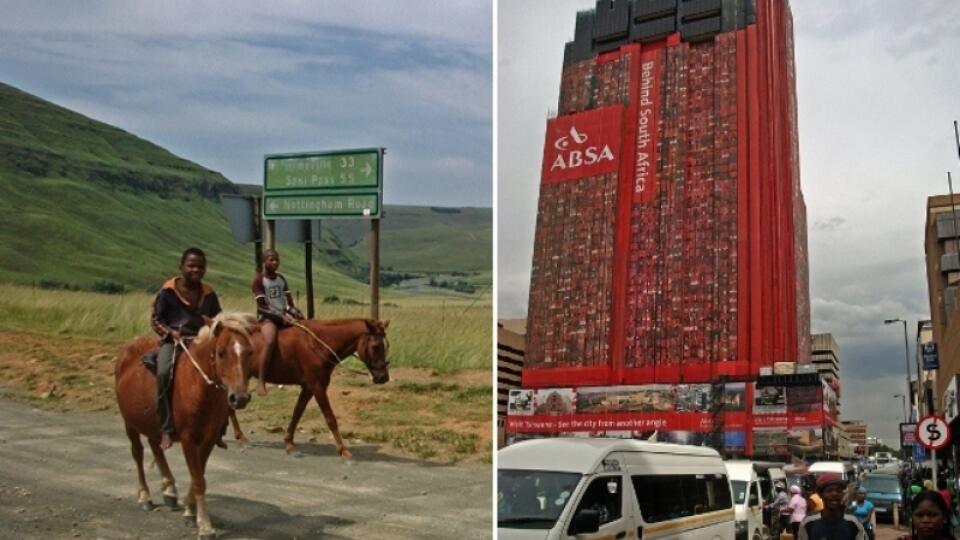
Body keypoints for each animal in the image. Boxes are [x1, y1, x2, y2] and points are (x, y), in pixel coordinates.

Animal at [115, 312, 256, 540]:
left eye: (249, 352)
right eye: (221, 353)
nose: (240, 398)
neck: (198, 385)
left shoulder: (208, 439)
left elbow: (198, 475)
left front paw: (190, 512)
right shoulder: (189, 439)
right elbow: (198, 480)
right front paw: (205, 526)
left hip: (155, 424)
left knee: (156, 447)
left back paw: (169, 489)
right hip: (130, 424)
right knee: (138, 454)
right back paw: (145, 497)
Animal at [227, 318, 388, 458]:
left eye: (387, 346)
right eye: (375, 346)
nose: (383, 377)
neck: (318, 345)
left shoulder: (308, 387)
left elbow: (297, 412)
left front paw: (289, 442)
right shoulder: (317, 387)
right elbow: (330, 418)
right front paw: (343, 450)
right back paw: (240, 437)